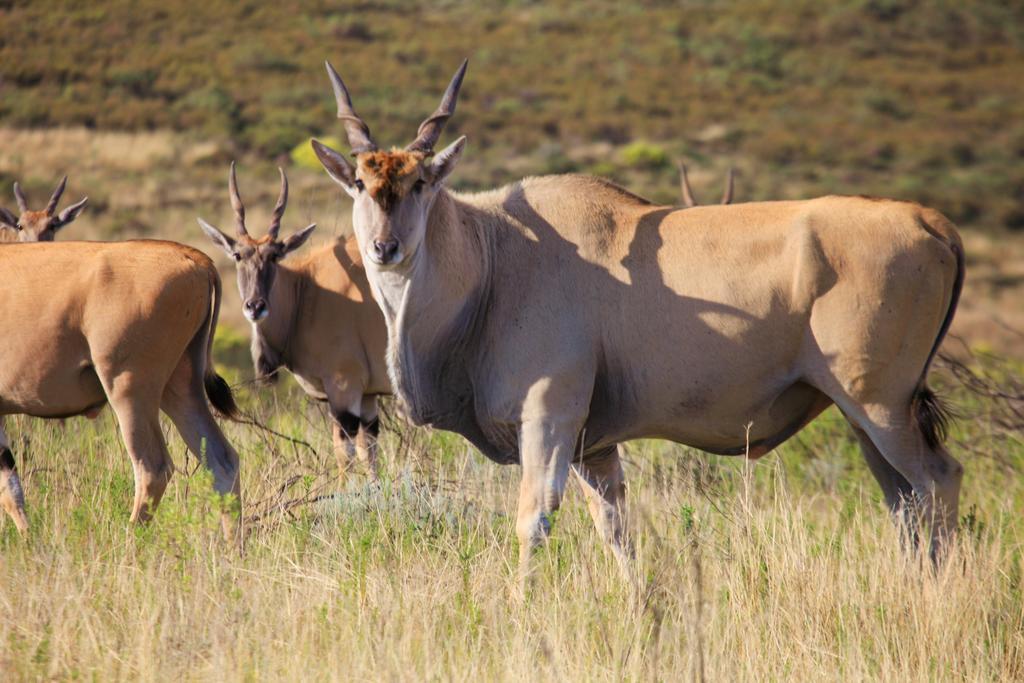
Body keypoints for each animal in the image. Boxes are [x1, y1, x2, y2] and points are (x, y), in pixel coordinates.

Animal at [0, 240, 241, 540]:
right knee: (223, 461)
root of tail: (195, 258)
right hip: (180, 387)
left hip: (128, 388)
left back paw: (128, 543)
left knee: (153, 468)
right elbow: (10, 489)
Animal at [198, 163, 387, 481]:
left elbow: (345, 457)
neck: (308, 291)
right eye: (237, 255)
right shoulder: (367, 396)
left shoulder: (344, 389)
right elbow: (368, 454)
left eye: (275, 256)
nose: (255, 306)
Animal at [307, 61, 962, 581]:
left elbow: (533, 521)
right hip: (861, 415)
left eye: (419, 182)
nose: (384, 248)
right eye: (361, 183)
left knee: (938, 482)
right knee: (902, 503)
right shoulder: (594, 447)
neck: (497, 257)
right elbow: (616, 531)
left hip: (878, 404)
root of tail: (930, 222)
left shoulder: (550, 417)